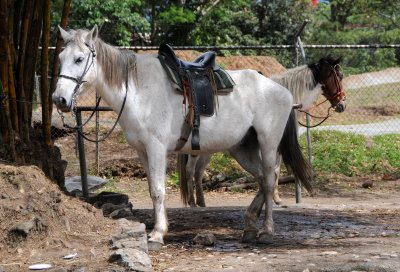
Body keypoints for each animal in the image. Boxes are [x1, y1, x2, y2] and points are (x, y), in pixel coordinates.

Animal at [54, 26, 316, 244]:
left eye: (79, 59)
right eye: (60, 59)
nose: (60, 99)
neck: (137, 90)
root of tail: (280, 89)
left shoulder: (156, 148)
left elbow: (158, 190)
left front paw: (157, 233)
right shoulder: (142, 151)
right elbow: (152, 189)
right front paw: (159, 229)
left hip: (268, 144)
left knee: (270, 181)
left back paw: (266, 231)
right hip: (242, 149)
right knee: (262, 178)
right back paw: (250, 225)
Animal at [180, 56, 346, 206]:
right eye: (340, 76)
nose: (342, 104)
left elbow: (275, 170)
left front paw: (275, 198)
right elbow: (271, 170)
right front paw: (271, 198)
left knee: (198, 172)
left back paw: (201, 202)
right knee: (189, 169)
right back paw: (192, 202)